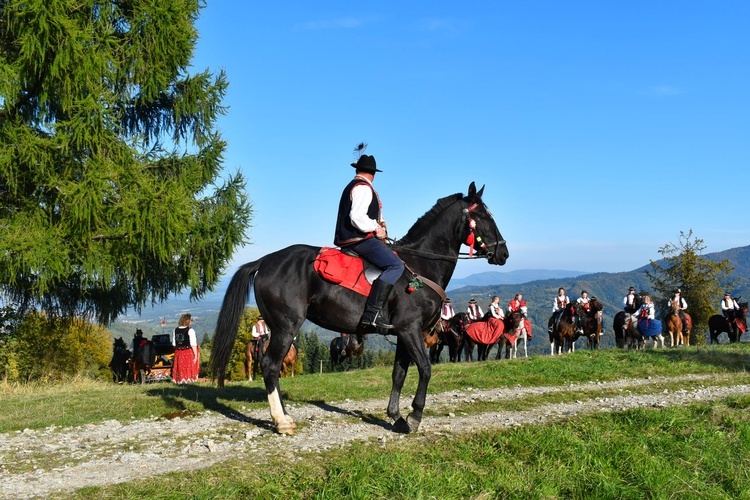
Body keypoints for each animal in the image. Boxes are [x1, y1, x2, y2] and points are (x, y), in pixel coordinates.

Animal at [212, 183, 512, 434]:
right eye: (483, 217)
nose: (504, 254)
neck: (421, 266)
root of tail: (264, 261)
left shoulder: (403, 334)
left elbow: (399, 374)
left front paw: (396, 416)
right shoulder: (410, 330)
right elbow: (426, 369)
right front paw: (414, 416)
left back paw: (285, 416)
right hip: (286, 327)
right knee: (270, 366)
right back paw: (281, 421)